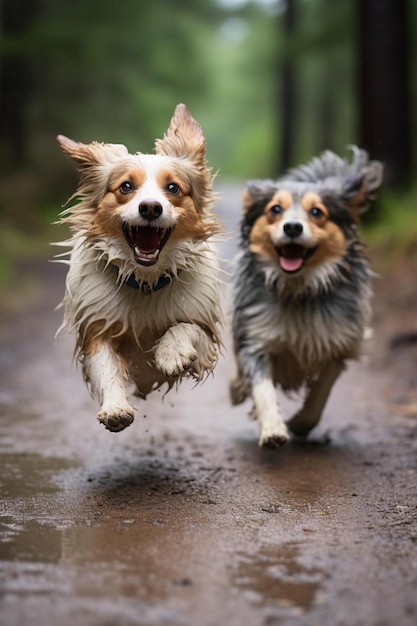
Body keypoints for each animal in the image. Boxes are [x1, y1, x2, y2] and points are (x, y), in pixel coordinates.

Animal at [57, 105, 224, 432]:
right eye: (126, 186)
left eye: (173, 188)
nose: (150, 207)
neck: (146, 280)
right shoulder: (97, 327)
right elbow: (107, 368)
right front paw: (116, 408)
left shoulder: (204, 330)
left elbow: (184, 327)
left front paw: (171, 353)